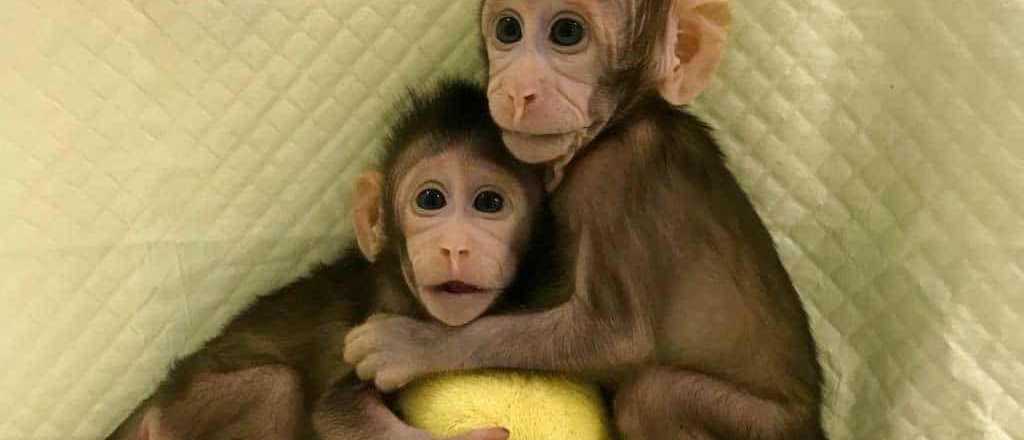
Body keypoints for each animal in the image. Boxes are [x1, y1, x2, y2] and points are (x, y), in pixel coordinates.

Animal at [107, 79, 551, 440]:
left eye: (489, 203)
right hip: (189, 411)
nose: (455, 246)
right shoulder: (375, 317)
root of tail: (152, 404)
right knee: (276, 388)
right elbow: (336, 413)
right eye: (431, 199)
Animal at [344, 1, 827, 439]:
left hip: (760, 425)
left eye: (567, 33)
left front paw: (410, 345)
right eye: (507, 29)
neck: (622, 121)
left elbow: (618, 337)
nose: (517, 91)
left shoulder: (613, 175)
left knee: (649, 397)